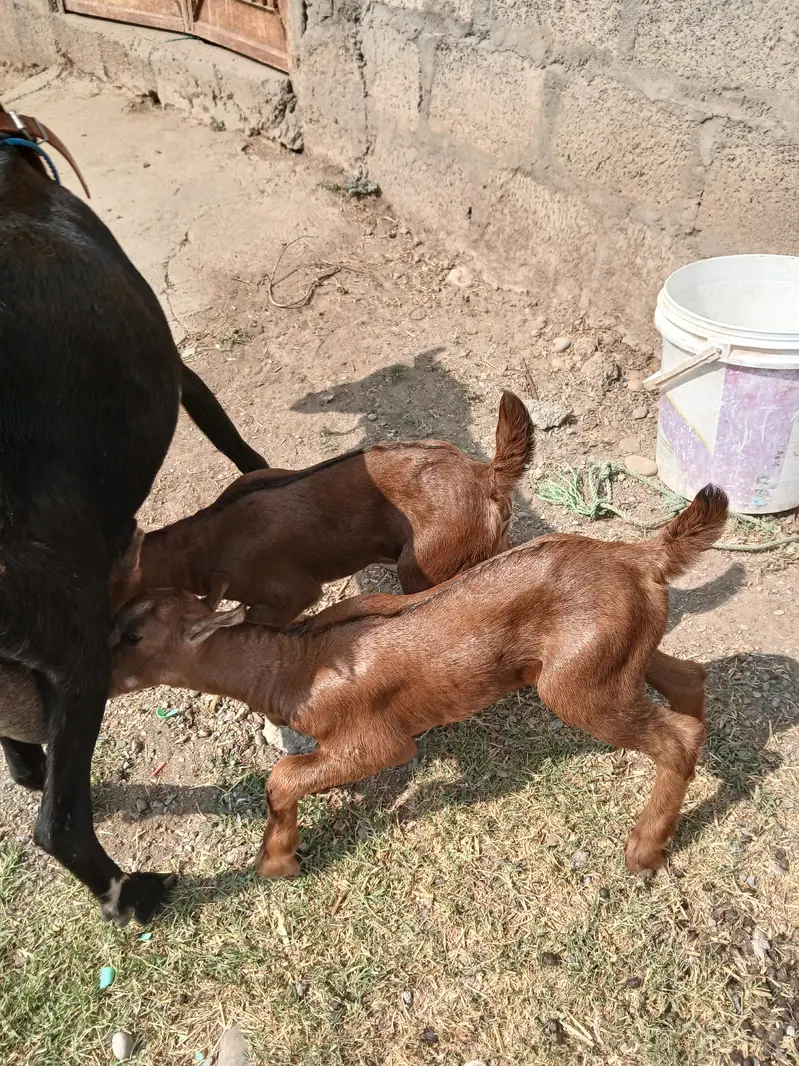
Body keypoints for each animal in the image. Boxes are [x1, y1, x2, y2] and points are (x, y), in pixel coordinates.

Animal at [0, 110, 266, 925]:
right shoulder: (182, 373)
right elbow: (234, 439)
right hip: (75, 641)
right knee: (56, 823)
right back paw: (132, 894)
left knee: (22, 764)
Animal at [109, 486, 727, 882]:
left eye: (134, 634)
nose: (96, 675)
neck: (294, 663)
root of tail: (640, 556)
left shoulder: (374, 738)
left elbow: (284, 775)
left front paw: (277, 863)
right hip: (612, 653)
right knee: (689, 680)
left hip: (578, 683)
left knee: (675, 737)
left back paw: (643, 851)